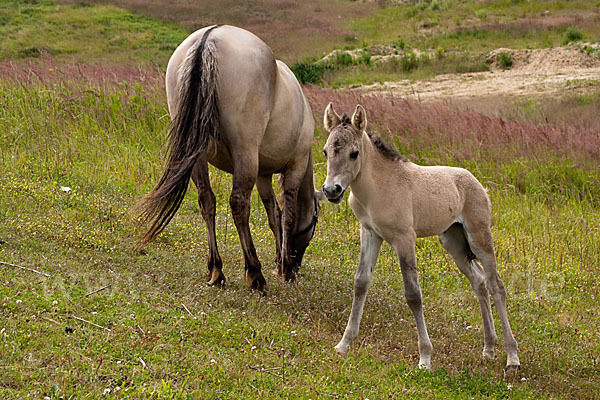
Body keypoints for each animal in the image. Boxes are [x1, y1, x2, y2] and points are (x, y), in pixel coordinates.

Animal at [135, 25, 318, 290]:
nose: (296, 264)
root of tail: (209, 38)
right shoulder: (295, 166)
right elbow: (287, 217)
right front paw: (284, 269)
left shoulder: (263, 176)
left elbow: (274, 214)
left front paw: (279, 261)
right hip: (245, 151)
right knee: (239, 203)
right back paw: (254, 273)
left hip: (196, 155)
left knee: (206, 199)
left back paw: (216, 269)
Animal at [318, 103, 520, 372]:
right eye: (326, 152)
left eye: (354, 153)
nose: (332, 190)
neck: (379, 187)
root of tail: (477, 183)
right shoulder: (370, 233)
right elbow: (360, 283)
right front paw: (344, 344)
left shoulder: (404, 239)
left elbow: (413, 294)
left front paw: (425, 357)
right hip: (454, 242)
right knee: (479, 282)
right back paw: (488, 348)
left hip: (479, 237)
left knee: (497, 285)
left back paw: (512, 356)